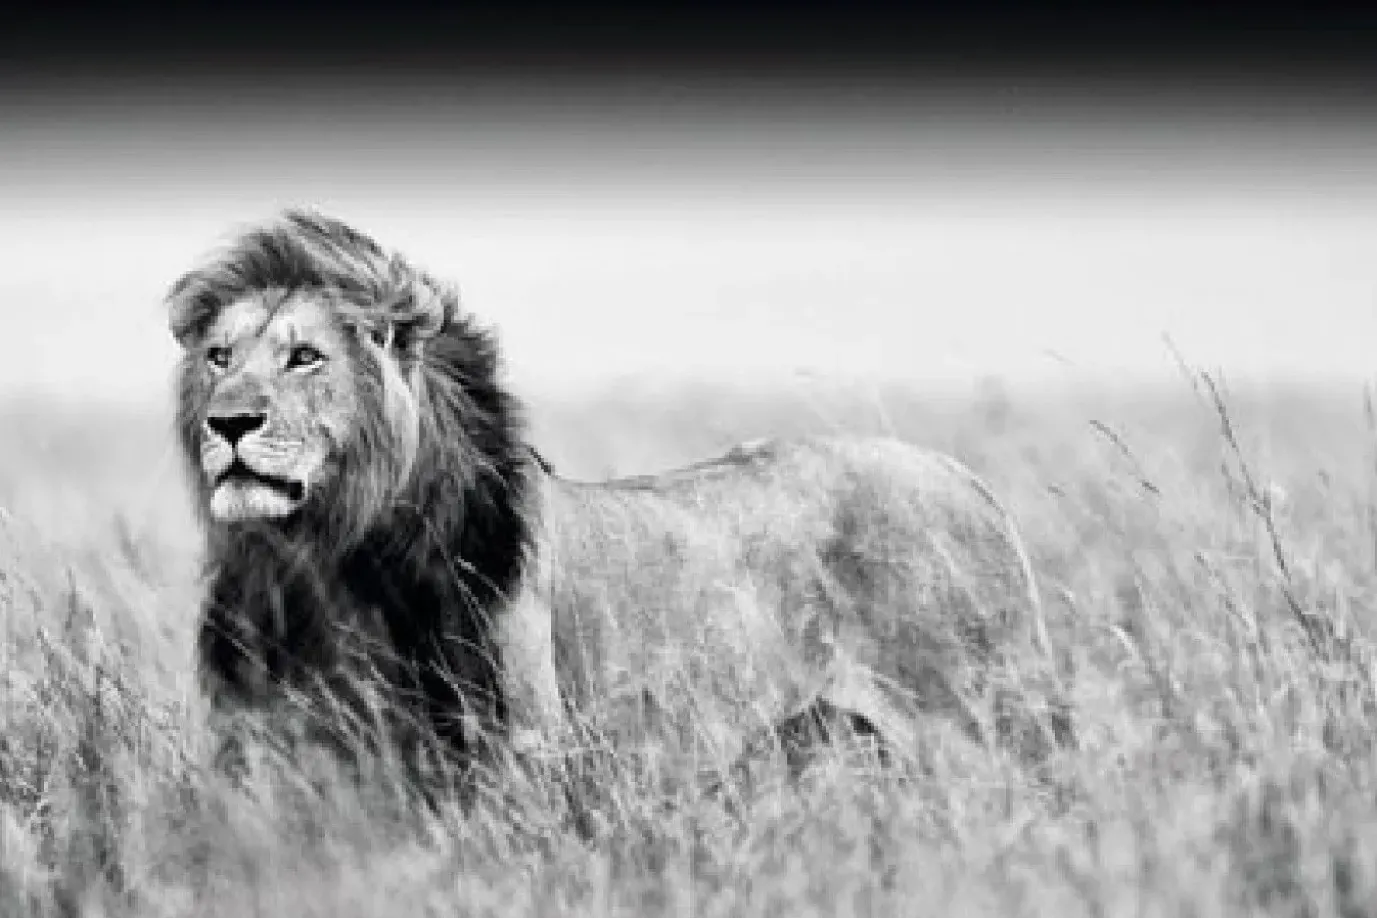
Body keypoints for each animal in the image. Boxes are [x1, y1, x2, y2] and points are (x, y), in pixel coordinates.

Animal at [166, 209, 1068, 795]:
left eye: (305, 358)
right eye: (219, 357)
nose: (228, 423)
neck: (325, 557)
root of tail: (962, 475)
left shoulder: (515, 755)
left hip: (992, 729)